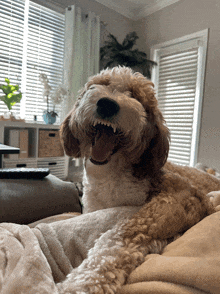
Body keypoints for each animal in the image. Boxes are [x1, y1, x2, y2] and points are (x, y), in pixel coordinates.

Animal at [58, 66, 220, 294]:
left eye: (134, 96)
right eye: (100, 85)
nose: (107, 104)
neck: (110, 175)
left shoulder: (181, 197)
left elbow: (120, 234)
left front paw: (84, 281)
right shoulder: (93, 208)